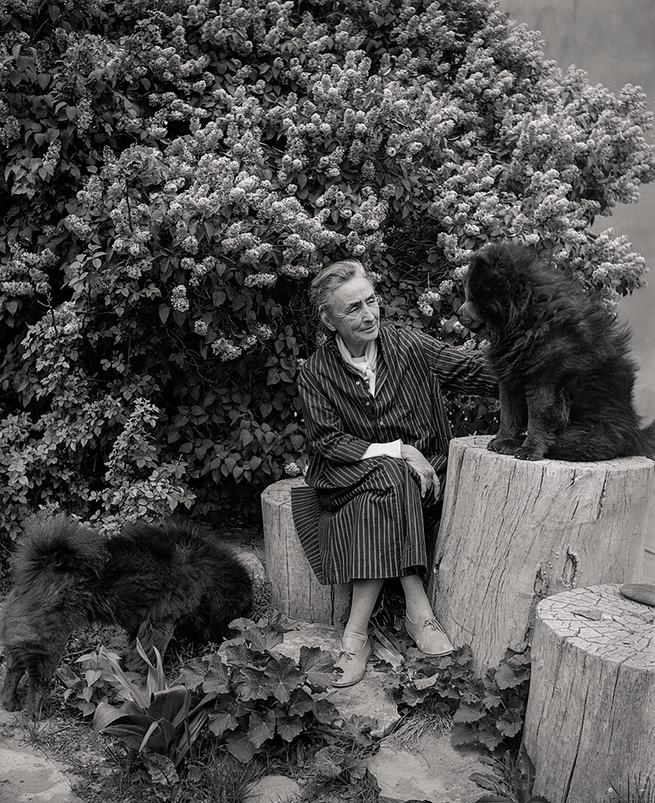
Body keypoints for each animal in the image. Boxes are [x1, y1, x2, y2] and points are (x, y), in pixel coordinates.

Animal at [0, 520, 254, 720]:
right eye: (236, 615)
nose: (230, 635)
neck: (207, 576)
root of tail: (40, 567)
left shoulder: (140, 625)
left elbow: (136, 650)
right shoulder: (160, 623)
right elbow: (150, 655)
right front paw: (148, 679)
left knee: (13, 669)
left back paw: (10, 703)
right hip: (49, 644)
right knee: (36, 680)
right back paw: (34, 714)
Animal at [456, 242, 655, 462]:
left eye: (474, 298)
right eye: (468, 296)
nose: (458, 313)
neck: (526, 323)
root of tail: (635, 435)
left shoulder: (545, 380)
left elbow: (538, 416)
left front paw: (529, 450)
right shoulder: (510, 380)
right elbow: (508, 414)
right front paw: (502, 439)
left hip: (582, 433)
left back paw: (517, 445)